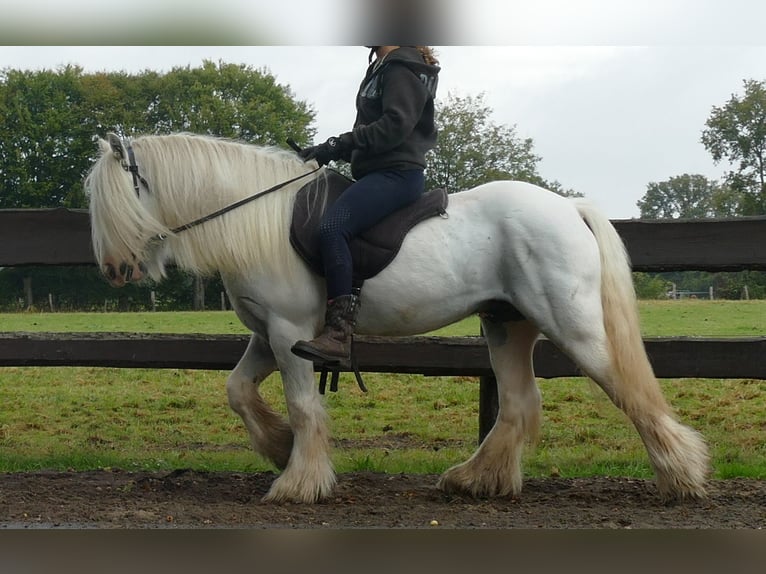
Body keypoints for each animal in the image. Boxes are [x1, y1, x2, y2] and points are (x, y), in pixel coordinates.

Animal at [85, 134, 712, 504]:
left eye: (118, 195)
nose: (114, 270)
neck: (256, 218)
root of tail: (567, 206)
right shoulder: (268, 335)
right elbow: (239, 392)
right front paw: (279, 447)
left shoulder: (290, 333)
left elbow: (303, 405)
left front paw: (298, 482)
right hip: (506, 325)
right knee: (517, 404)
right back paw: (475, 479)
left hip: (571, 325)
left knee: (629, 390)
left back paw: (681, 476)